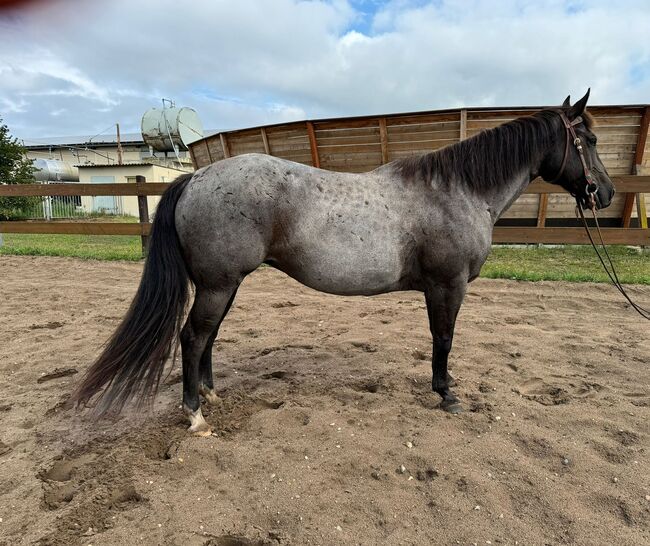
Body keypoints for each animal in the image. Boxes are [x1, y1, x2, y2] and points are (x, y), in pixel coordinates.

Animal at [74, 90, 612, 434]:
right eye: (589, 141)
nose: (603, 194)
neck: (458, 191)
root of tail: (196, 177)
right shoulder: (448, 285)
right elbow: (443, 340)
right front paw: (446, 394)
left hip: (223, 285)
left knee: (206, 337)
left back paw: (211, 396)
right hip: (217, 284)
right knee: (192, 337)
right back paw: (195, 416)